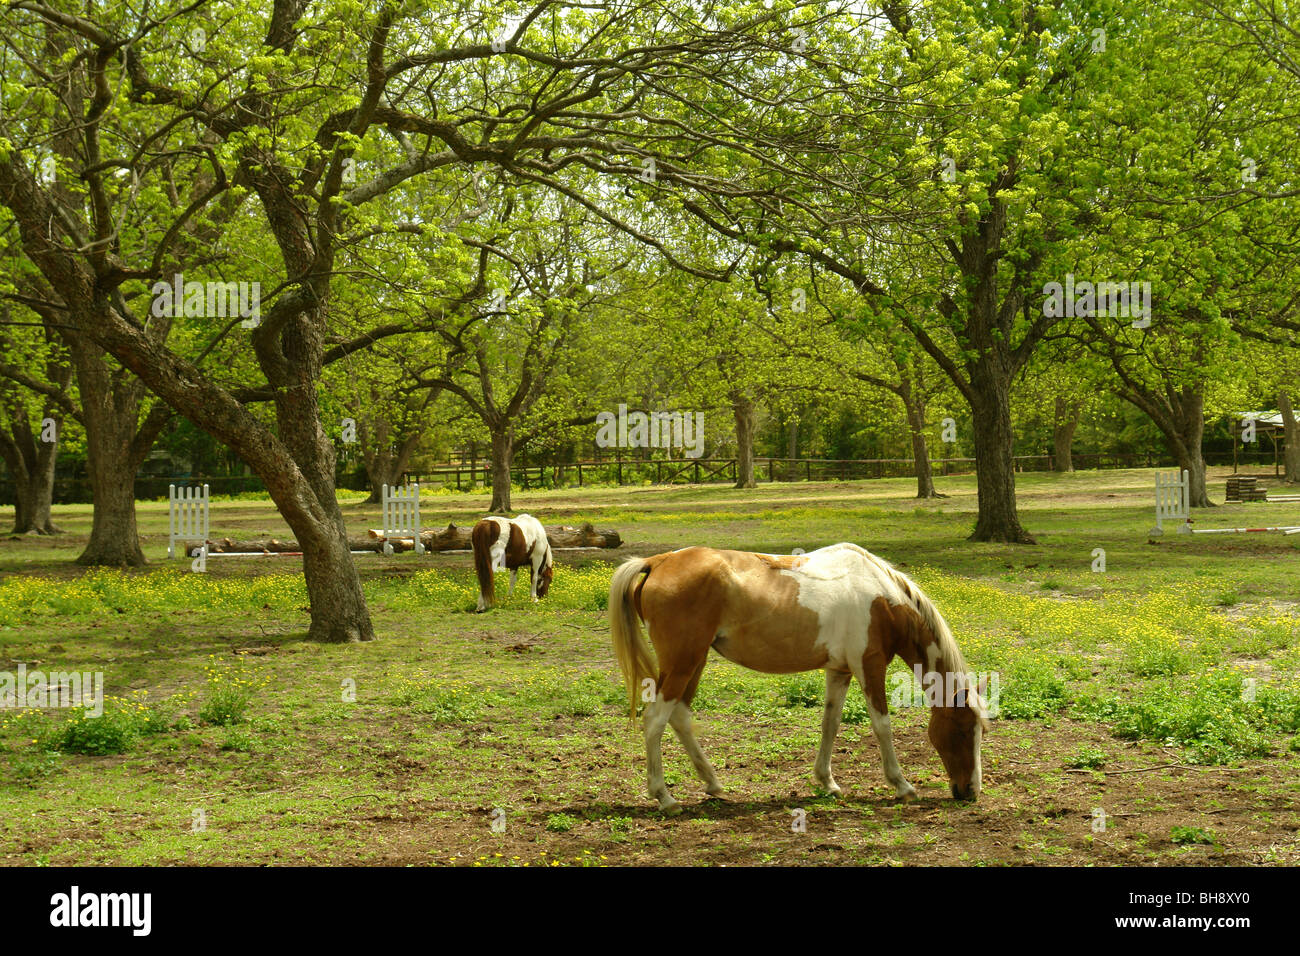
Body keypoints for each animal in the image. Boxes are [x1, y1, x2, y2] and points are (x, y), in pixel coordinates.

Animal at [608, 543, 990, 811]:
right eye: (962, 729)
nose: (971, 791)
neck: (882, 598)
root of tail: (659, 561)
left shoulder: (839, 671)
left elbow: (830, 724)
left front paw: (827, 783)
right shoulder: (870, 665)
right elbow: (882, 726)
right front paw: (903, 786)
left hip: (693, 662)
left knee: (680, 717)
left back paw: (713, 784)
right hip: (683, 663)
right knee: (655, 720)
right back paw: (665, 797)